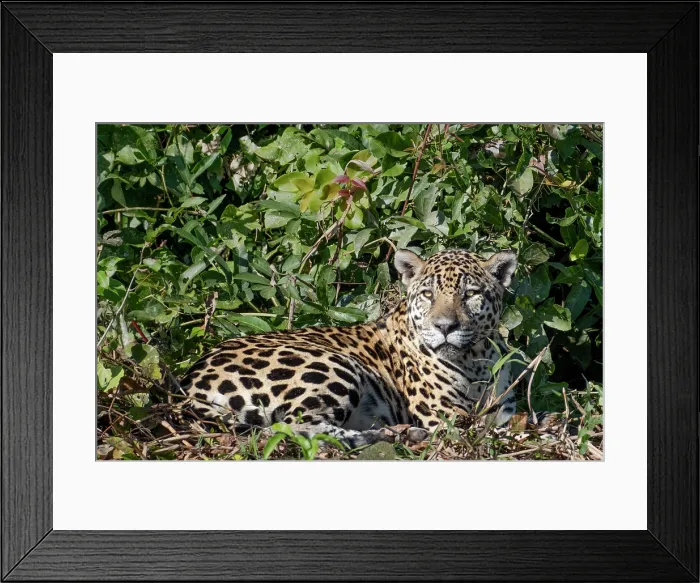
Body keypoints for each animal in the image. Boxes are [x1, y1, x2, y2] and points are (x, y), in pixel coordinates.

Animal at [180, 247, 519, 449]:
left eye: (470, 294)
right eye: (427, 294)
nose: (445, 327)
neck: (475, 359)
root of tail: (188, 385)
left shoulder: (503, 410)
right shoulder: (443, 414)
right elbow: (484, 432)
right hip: (331, 365)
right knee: (295, 426)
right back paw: (393, 434)